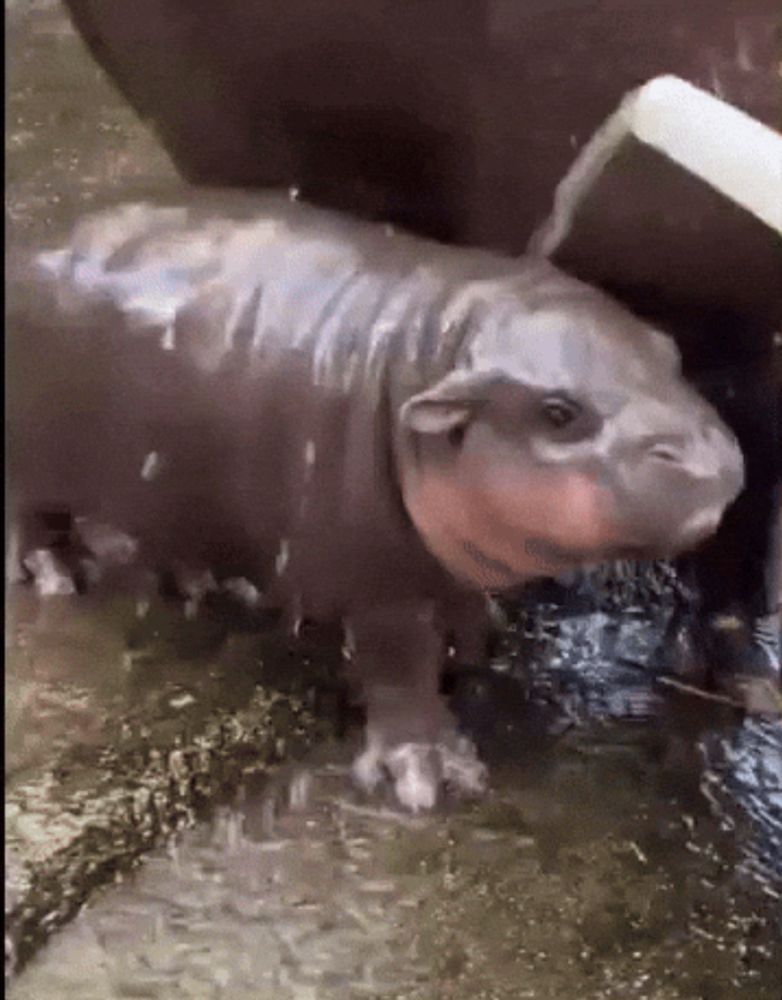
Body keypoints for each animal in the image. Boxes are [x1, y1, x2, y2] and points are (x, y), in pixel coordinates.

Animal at [10, 189, 748, 812]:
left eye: (668, 352)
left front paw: (481, 638)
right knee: (29, 519)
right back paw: (58, 578)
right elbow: (400, 673)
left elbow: (459, 604)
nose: (709, 459)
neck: (431, 362)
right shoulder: (381, 590)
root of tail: (32, 245)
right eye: (558, 413)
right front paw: (432, 779)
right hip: (34, 473)